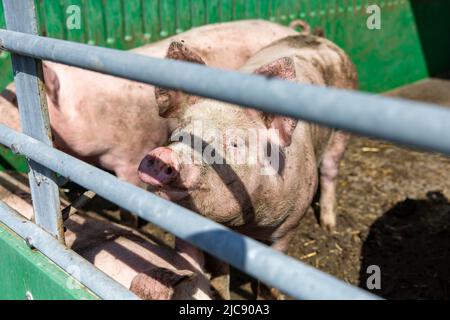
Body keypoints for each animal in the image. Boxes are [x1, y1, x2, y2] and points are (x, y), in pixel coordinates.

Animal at [141, 33, 358, 296]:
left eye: (234, 143)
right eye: (180, 133)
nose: (163, 154)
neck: (246, 226)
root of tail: (317, 38)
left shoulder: (288, 226)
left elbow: (268, 280)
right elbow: (218, 272)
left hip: (341, 131)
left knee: (330, 169)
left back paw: (329, 226)